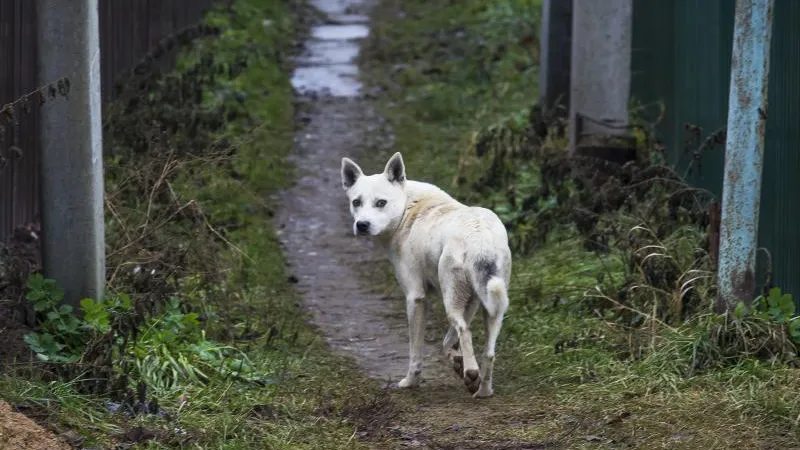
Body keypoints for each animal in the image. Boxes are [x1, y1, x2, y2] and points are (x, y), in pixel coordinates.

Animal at [340, 152, 510, 398]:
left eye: (381, 203)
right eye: (356, 202)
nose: (362, 225)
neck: (406, 209)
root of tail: (479, 237)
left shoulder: (415, 298)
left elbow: (416, 351)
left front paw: (411, 381)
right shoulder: (472, 301)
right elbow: (448, 341)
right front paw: (457, 364)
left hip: (453, 299)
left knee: (465, 332)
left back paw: (471, 373)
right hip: (491, 306)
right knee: (488, 351)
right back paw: (482, 389)